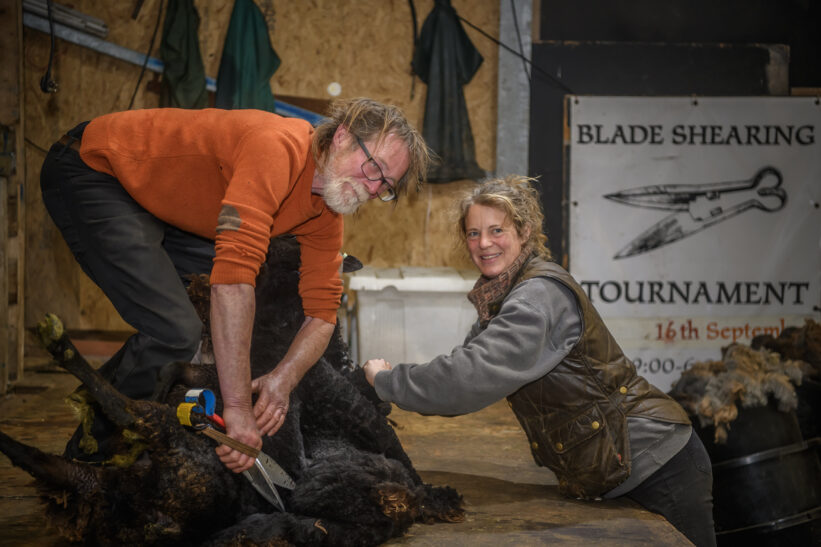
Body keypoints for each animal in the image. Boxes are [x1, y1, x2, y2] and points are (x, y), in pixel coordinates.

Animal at [0, 238, 462, 544]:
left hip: (180, 444)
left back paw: (62, 348)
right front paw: (164, 385)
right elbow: (175, 368)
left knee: (124, 409)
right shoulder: (220, 373)